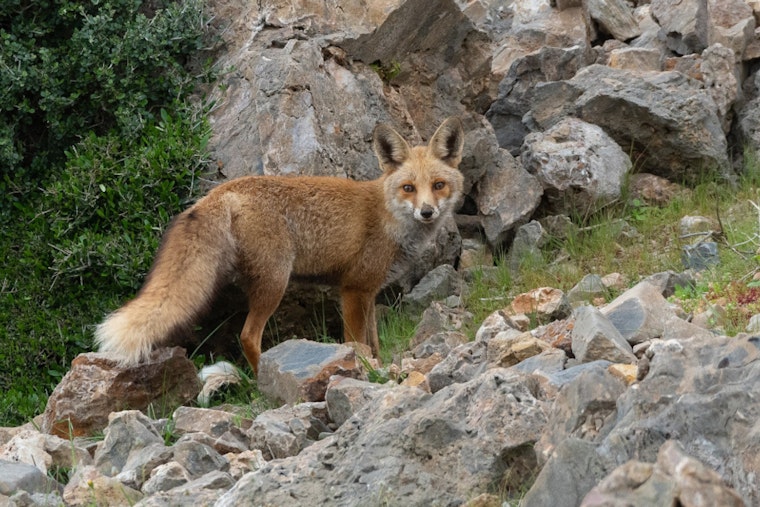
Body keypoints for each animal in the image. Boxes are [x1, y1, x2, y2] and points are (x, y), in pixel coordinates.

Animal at [95, 117, 465, 374]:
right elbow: (356, 342)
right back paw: (264, 380)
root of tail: (219, 193)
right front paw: (364, 369)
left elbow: (373, 343)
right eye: (408, 188)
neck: (389, 218)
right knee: (247, 336)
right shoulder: (354, 290)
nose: (427, 212)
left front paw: (378, 364)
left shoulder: (368, 292)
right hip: (275, 282)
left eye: (438, 185)